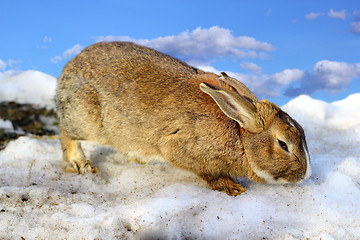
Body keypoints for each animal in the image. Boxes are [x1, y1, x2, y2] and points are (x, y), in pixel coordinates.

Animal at [54, 40, 310, 195]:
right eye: (283, 144)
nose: (305, 176)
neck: (240, 135)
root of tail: (69, 68)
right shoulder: (183, 151)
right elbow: (209, 174)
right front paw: (232, 189)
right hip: (85, 120)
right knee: (67, 134)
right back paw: (81, 164)